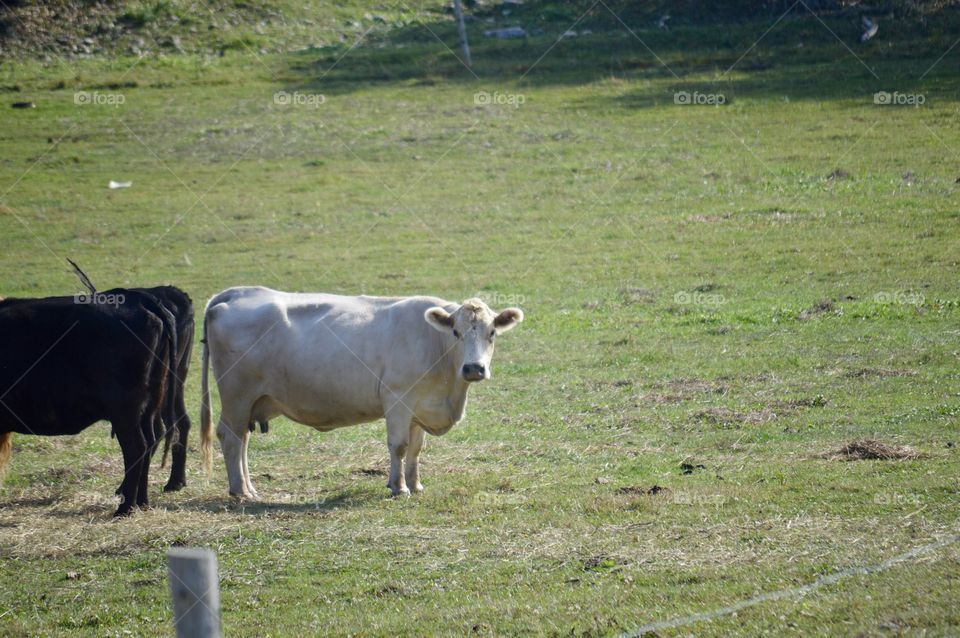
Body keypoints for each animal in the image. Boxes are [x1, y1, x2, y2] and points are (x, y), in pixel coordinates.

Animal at [0, 290, 178, 516]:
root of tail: (134, 296)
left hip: (124, 411)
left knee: (136, 448)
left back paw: (125, 508)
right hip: (149, 405)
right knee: (150, 442)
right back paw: (142, 502)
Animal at [198, 287, 523, 498]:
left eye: (491, 333)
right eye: (456, 333)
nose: (474, 368)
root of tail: (236, 293)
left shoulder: (420, 406)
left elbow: (416, 449)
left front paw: (415, 485)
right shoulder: (398, 399)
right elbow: (399, 446)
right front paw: (398, 487)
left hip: (249, 401)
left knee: (242, 439)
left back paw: (249, 487)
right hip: (236, 396)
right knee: (230, 437)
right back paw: (241, 491)